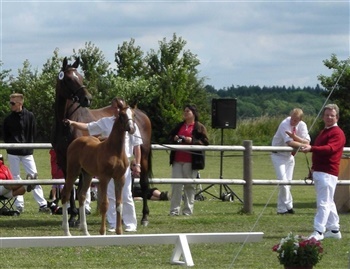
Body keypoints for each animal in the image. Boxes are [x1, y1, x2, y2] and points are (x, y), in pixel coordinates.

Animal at [61, 103, 134, 233]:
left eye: (133, 114)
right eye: (122, 115)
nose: (131, 128)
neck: (115, 151)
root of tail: (75, 142)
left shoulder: (120, 178)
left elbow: (119, 205)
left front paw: (119, 232)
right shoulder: (104, 178)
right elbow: (105, 204)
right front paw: (102, 231)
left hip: (87, 174)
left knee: (81, 195)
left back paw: (86, 232)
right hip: (72, 171)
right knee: (66, 194)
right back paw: (67, 231)